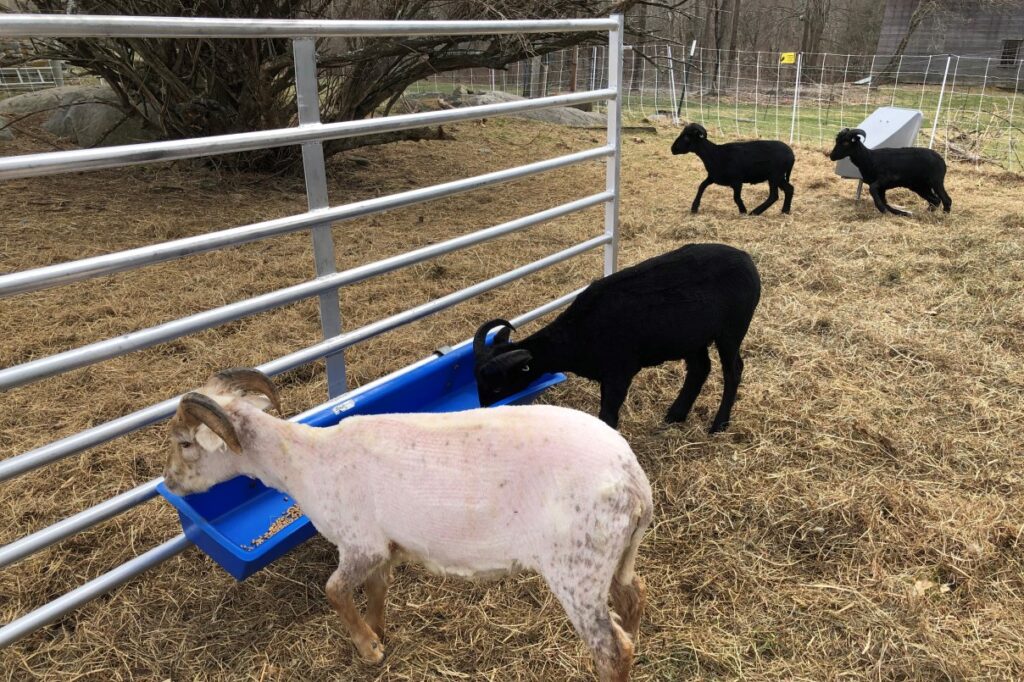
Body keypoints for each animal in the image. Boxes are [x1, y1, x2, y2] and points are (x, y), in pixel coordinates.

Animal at [163, 368, 651, 675]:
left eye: (185, 443)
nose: (169, 481)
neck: (305, 463)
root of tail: (635, 482)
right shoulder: (387, 546)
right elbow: (378, 591)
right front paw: (378, 633)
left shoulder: (360, 542)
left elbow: (334, 590)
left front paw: (368, 650)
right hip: (615, 555)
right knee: (635, 597)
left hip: (576, 569)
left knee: (612, 650)